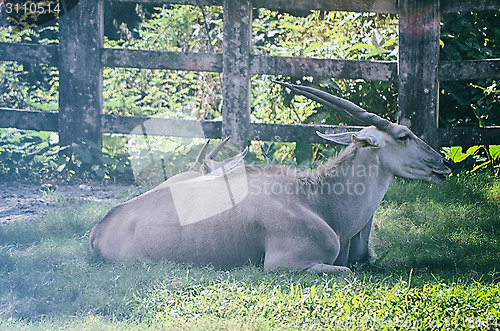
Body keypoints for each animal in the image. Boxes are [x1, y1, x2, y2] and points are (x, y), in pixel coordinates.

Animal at [91, 83, 454, 274]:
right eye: (404, 136)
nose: (444, 163)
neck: (315, 199)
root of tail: (101, 227)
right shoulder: (287, 265)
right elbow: (348, 271)